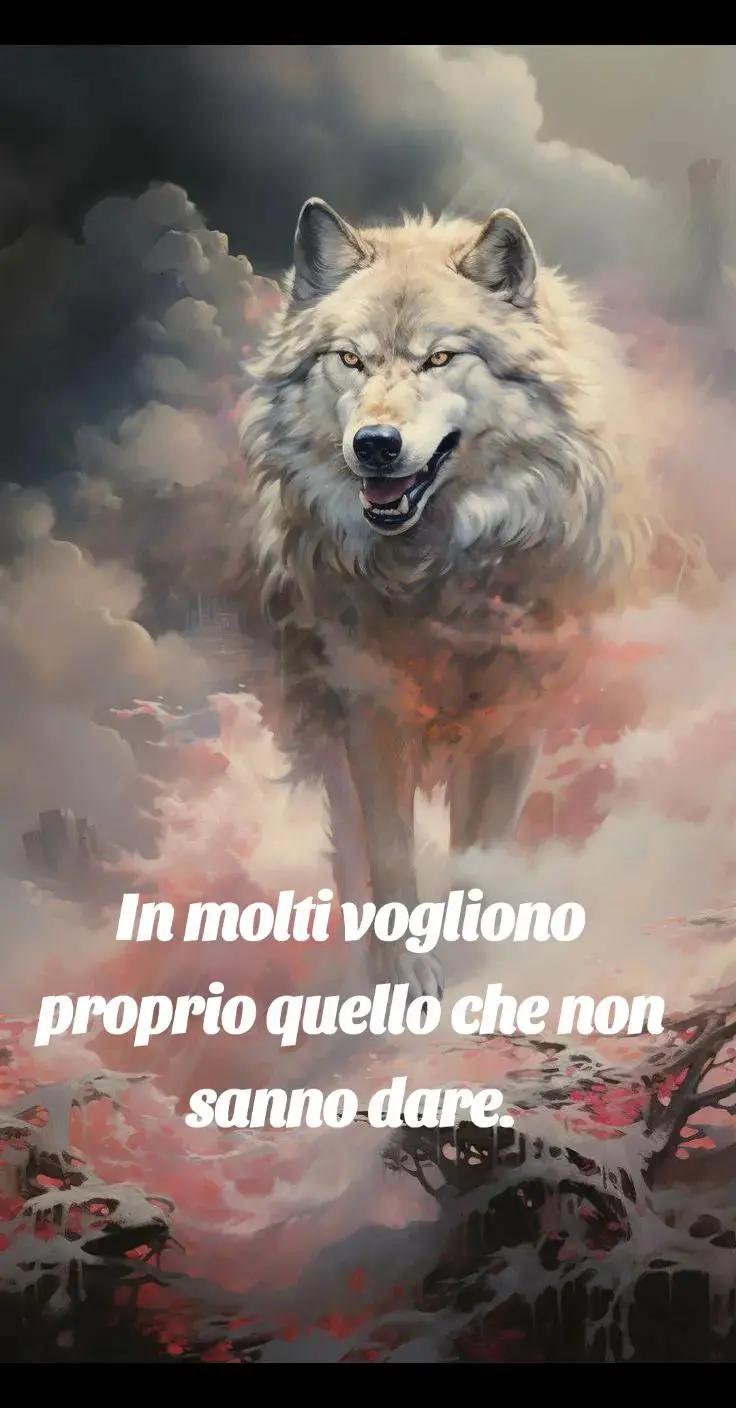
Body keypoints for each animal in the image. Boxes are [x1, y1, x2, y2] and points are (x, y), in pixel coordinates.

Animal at [237, 198, 672, 997]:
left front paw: (476, 956)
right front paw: (401, 971)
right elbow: (389, 851)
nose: (375, 444)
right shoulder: (367, 708)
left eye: (440, 358)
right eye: (350, 359)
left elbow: (480, 853)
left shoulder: (514, 717)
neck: (435, 578)